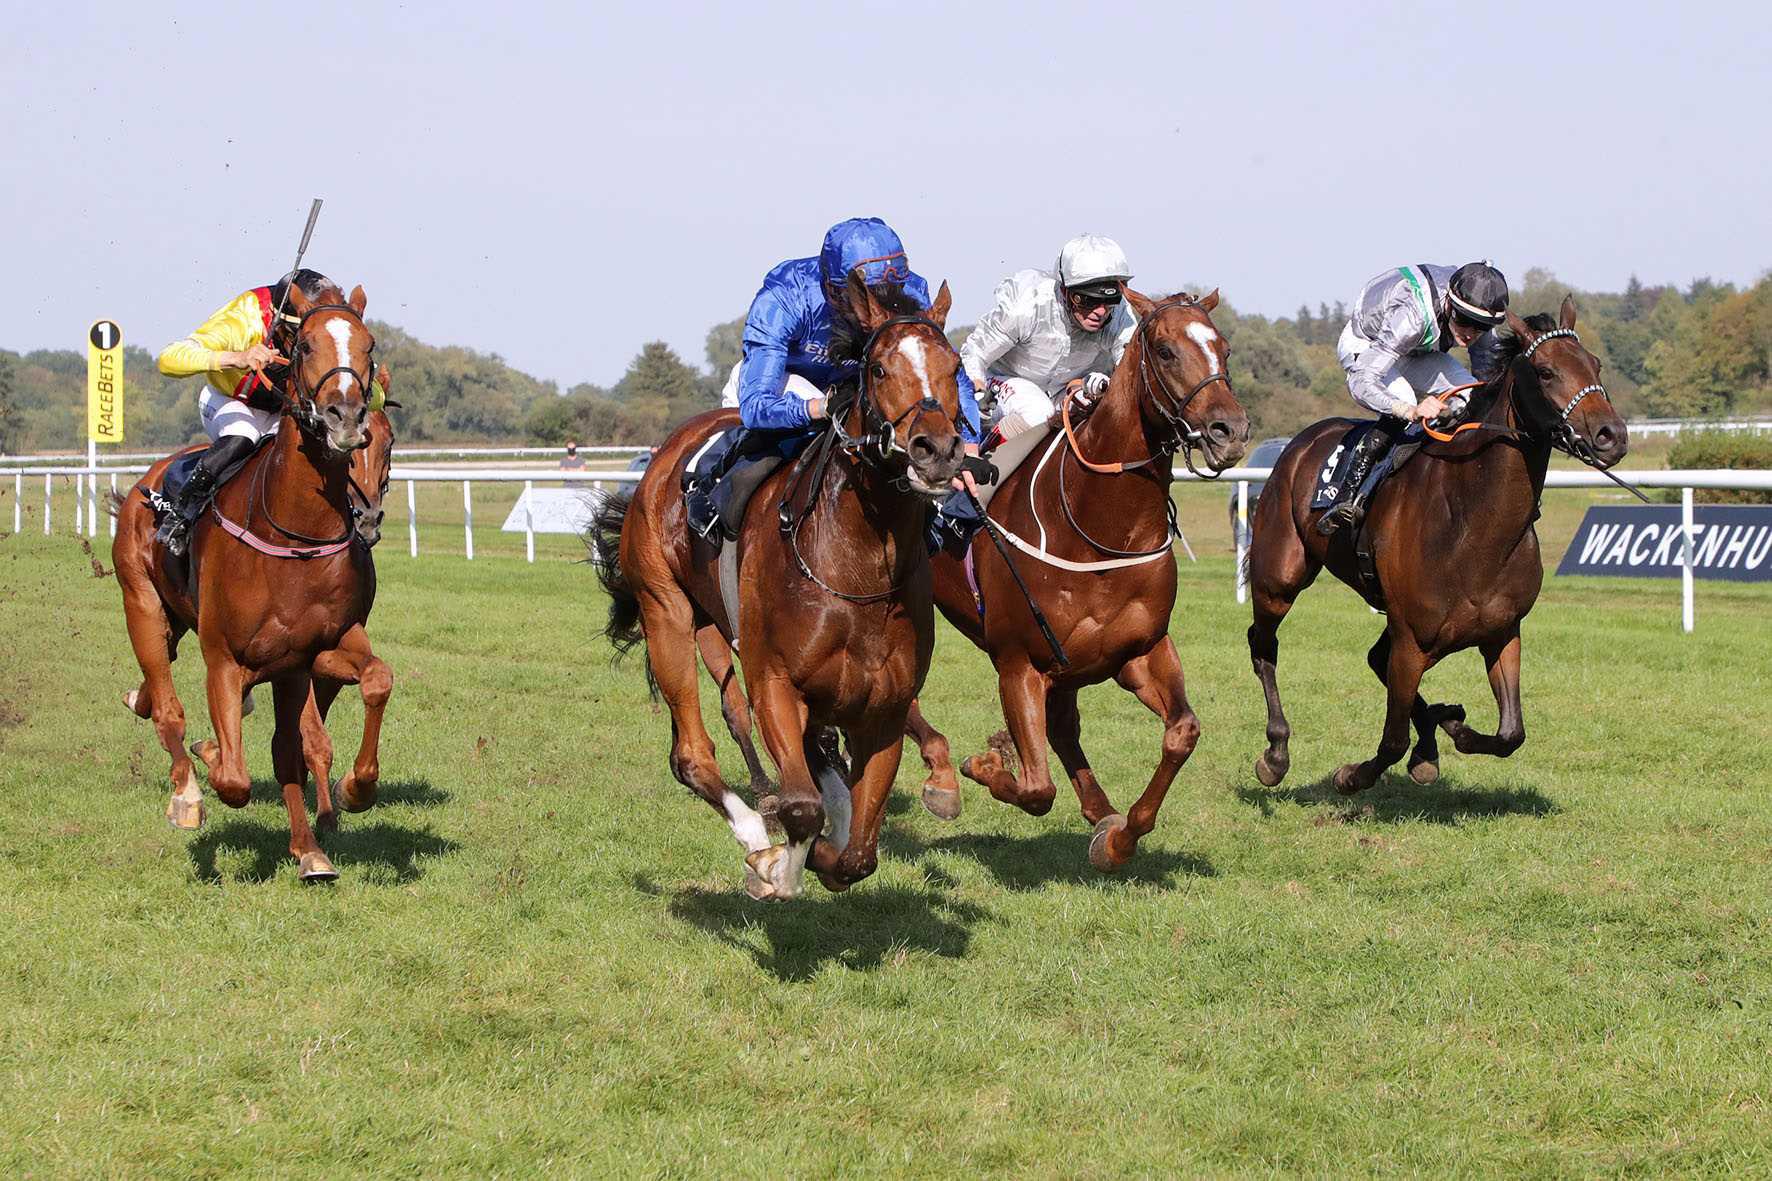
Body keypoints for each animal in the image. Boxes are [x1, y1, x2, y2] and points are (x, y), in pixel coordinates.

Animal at [116, 283, 395, 872]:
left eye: (369, 345)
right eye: (305, 345)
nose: (346, 418)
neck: (294, 535)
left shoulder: (318, 649)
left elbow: (367, 688)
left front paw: (342, 808)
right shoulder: (224, 656)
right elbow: (235, 778)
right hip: (142, 604)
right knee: (168, 710)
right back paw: (186, 793)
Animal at [598, 276, 971, 897]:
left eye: (955, 365)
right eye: (878, 369)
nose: (937, 449)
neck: (858, 566)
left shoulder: (885, 707)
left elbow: (857, 855)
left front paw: (824, 847)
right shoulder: (773, 679)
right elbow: (801, 808)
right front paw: (775, 865)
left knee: (820, 760)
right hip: (667, 611)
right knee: (692, 755)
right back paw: (753, 832)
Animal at [907, 290, 1254, 868]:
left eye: (1224, 348)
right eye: (1165, 351)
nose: (1230, 431)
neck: (1097, 527)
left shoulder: (1138, 651)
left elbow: (1182, 732)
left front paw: (1120, 836)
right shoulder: (1018, 662)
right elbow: (1037, 787)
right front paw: (987, 763)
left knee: (1065, 730)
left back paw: (1100, 812)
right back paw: (941, 778)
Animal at [1247, 294, 1623, 790]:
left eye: (1595, 364)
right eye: (1545, 371)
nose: (1611, 435)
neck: (1474, 527)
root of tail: (1299, 443)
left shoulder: (1502, 632)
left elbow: (1511, 734)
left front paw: (1450, 724)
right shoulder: (1412, 641)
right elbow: (1391, 741)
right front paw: (1351, 775)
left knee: (1373, 657)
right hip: (1278, 577)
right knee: (1263, 645)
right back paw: (1275, 753)